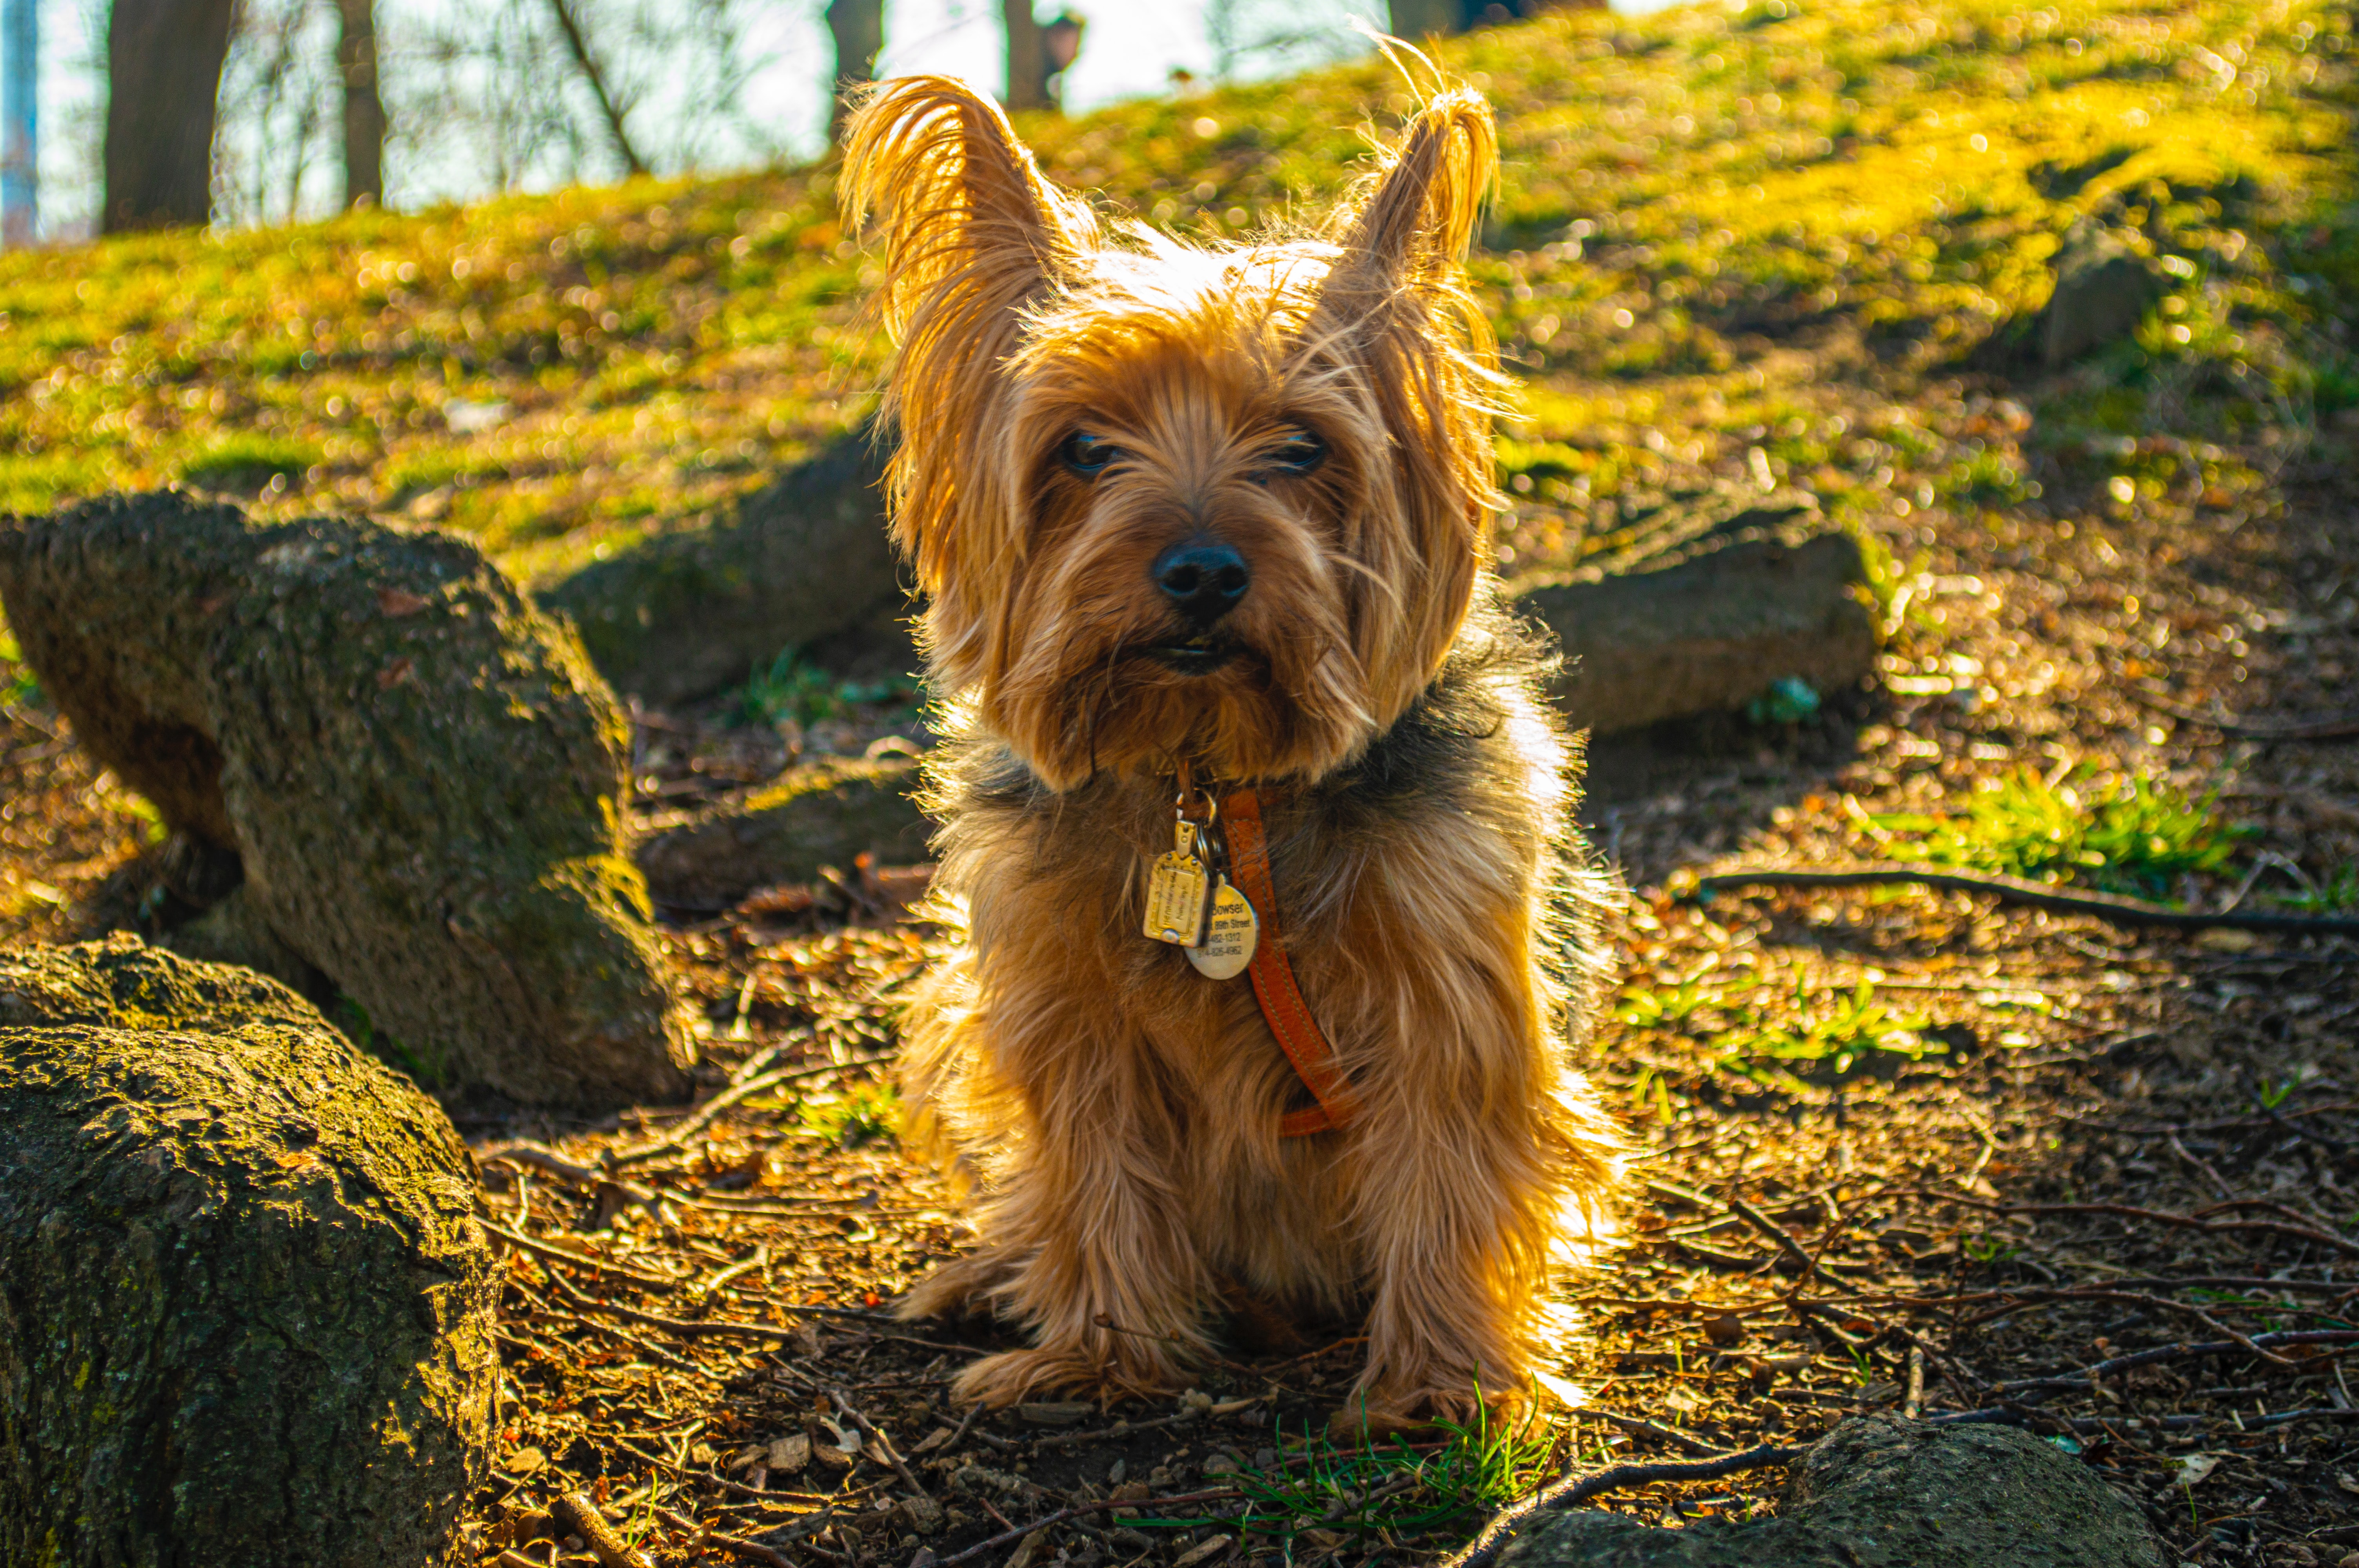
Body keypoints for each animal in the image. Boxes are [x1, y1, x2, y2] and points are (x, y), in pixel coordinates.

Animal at [844, 70, 1623, 1415]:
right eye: (1083, 448)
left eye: (1302, 447)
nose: (1202, 568)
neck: (1208, 781)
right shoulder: (1059, 986)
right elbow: (1093, 1156)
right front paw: (1101, 1353)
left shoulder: (1444, 971)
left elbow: (1448, 1153)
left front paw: (1441, 1378)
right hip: (951, 1007)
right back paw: (993, 1275)